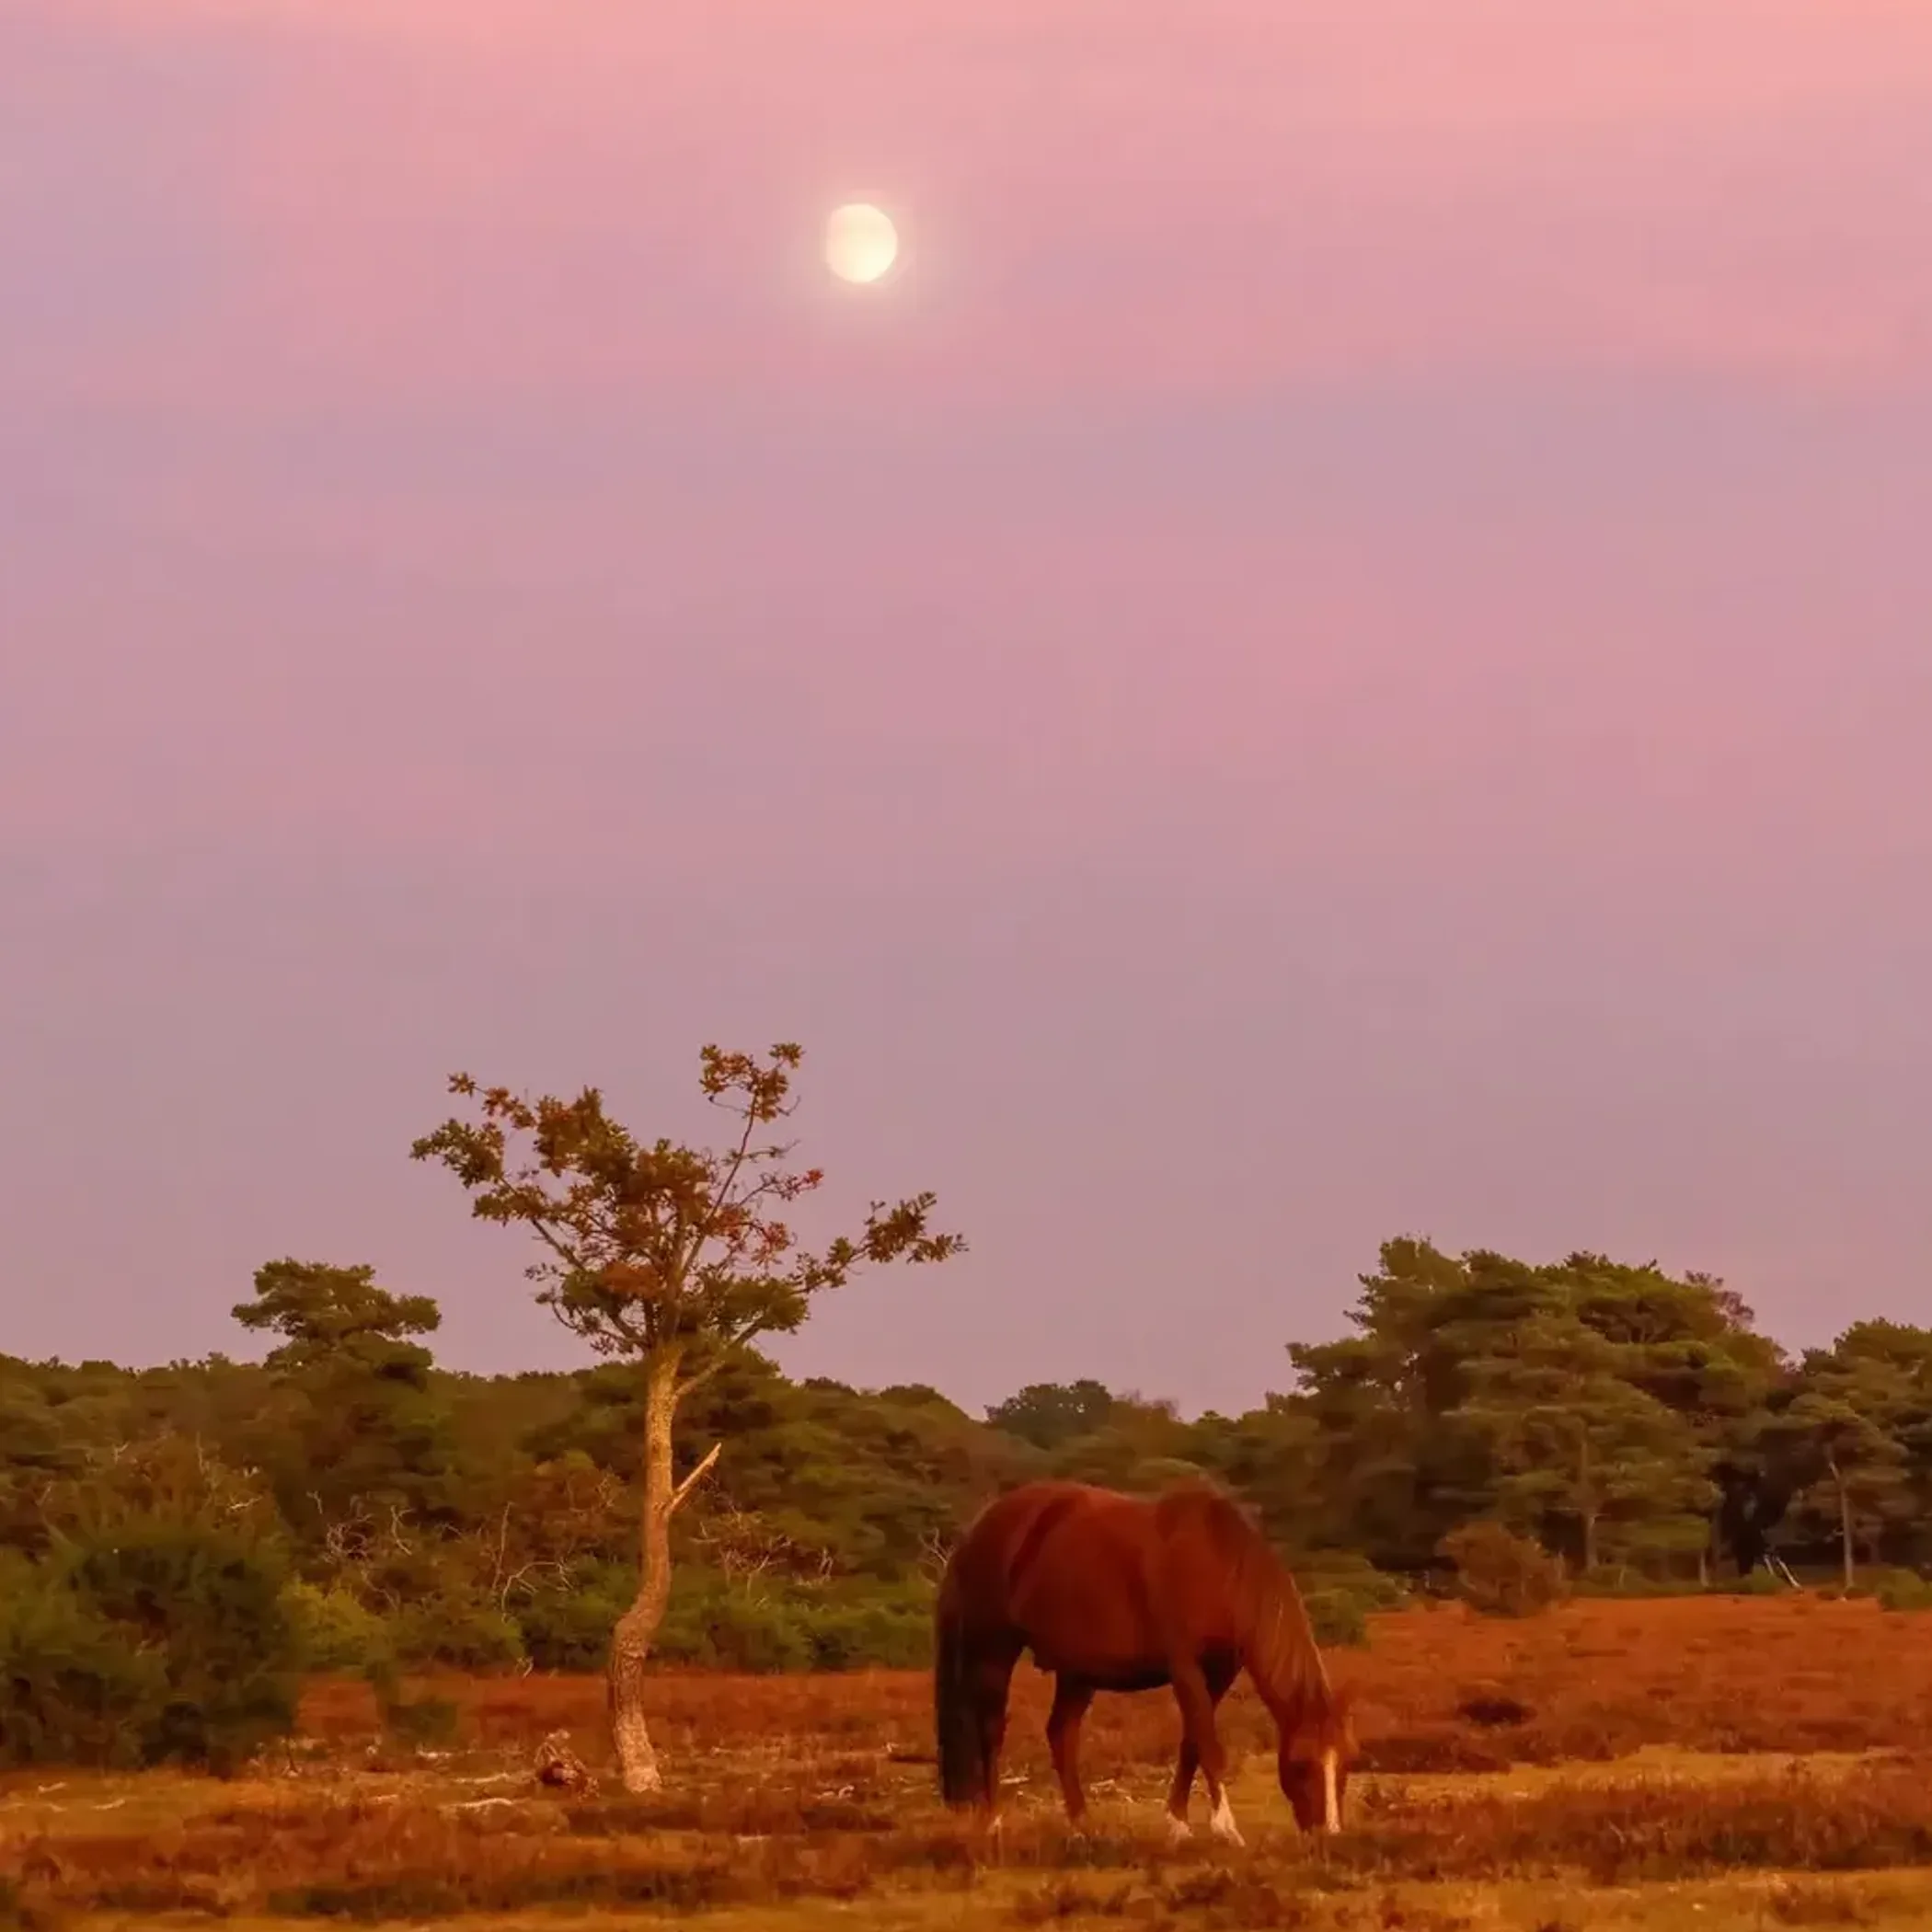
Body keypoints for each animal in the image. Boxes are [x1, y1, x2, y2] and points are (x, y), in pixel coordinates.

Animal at [933, 1477, 1356, 1845]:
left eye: (1347, 1763)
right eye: (1300, 1764)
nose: (1329, 1835)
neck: (1217, 1564)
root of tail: (978, 1530)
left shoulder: (1219, 1672)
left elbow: (1191, 1743)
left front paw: (1179, 1823)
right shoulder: (1185, 1668)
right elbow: (1208, 1742)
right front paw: (1226, 1828)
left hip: (1078, 1671)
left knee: (1061, 1734)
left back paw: (1083, 1825)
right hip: (993, 1650)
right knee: (990, 1729)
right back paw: (993, 1820)